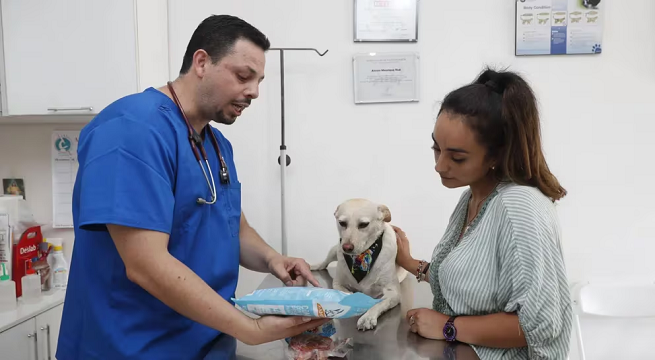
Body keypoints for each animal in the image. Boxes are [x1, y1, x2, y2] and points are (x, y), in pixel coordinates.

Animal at [310, 198, 408, 330]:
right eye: (342, 223)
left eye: (363, 224)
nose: (346, 248)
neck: (361, 258)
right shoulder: (338, 283)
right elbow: (345, 292)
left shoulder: (393, 292)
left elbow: (380, 303)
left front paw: (368, 317)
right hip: (335, 250)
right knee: (325, 262)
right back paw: (314, 266)